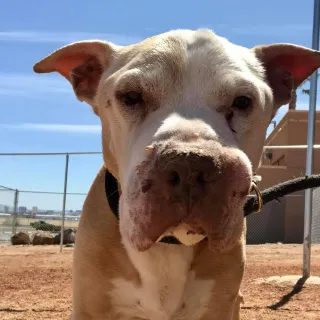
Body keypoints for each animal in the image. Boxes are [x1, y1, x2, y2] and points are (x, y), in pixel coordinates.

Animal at [33, 28, 320, 318]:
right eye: (131, 96)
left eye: (242, 101)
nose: (190, 165)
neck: (169, 245)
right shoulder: (91, 306)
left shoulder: (221, 305)